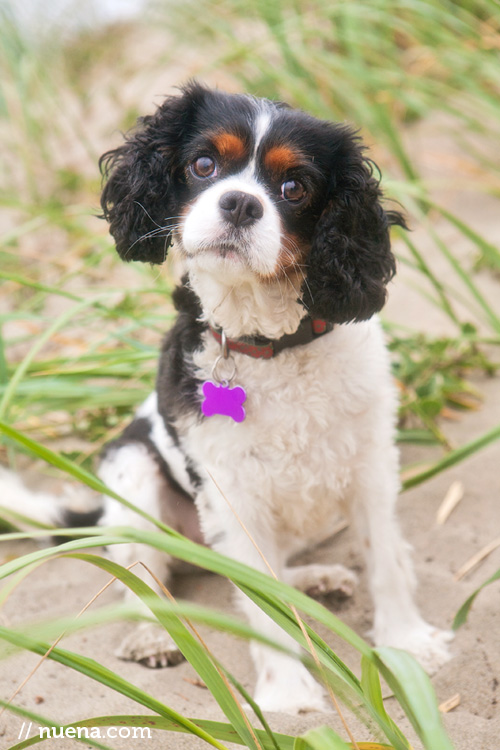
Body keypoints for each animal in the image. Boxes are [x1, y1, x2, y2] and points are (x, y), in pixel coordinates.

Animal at [0, 82, 454, 716]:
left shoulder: (370, 465)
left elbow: (385, 560)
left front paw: (408, 645)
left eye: (295, 187)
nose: (240, 203)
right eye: (203, 165)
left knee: (276, 564)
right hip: (131, 472)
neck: (271, 344)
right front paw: (288, 693)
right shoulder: (229, 491)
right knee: (144, 571)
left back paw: (314, 580)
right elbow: (262, 606)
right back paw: (151, 633)